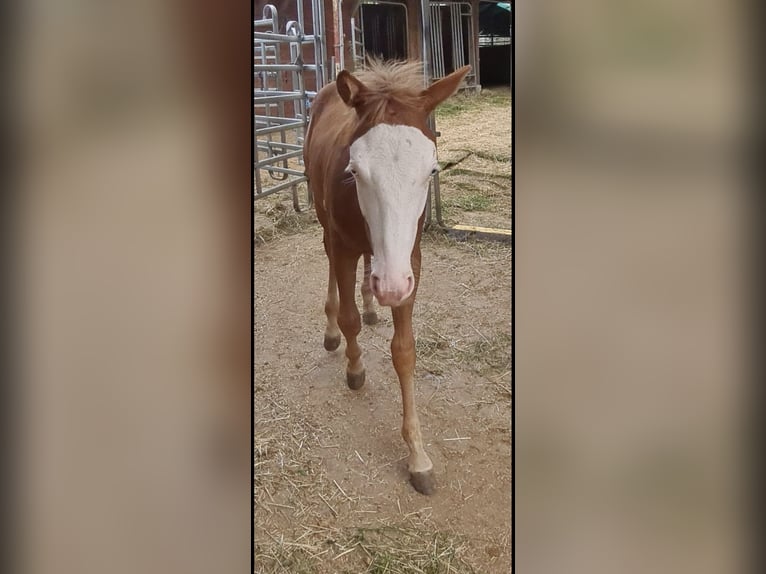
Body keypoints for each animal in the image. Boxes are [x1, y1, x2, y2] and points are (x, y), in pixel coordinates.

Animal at [304, 60, 472, 498]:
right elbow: (349, 321)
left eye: (432, 170)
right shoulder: (344, 245)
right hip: (326, 225)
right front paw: (355, 369)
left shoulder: (411, 260)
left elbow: (405, 351)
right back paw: (334, 330)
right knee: (332, 269)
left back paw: (370, 303)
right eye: (354, 170)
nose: (391, 287)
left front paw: (418, 456)